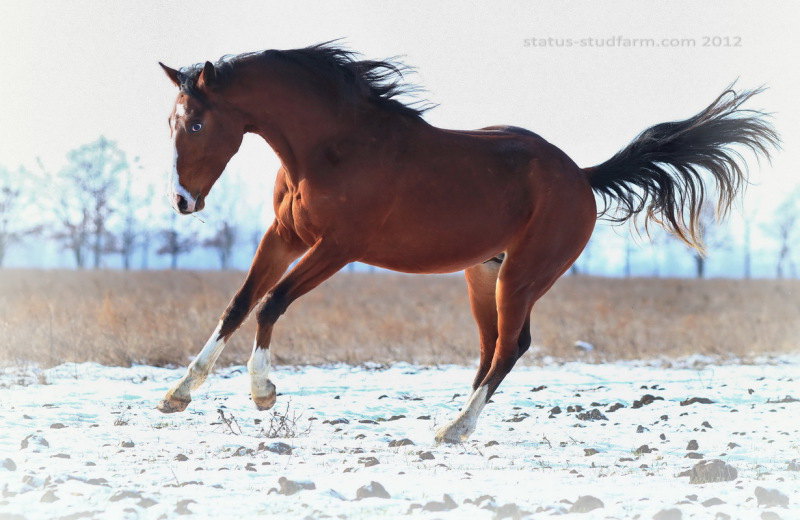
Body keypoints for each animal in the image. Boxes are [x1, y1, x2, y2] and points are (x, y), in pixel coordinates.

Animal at [155, 41, 776, 442]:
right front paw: (176, 395)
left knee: (511, 346)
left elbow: (271, 303)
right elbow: (238, 304)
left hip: (522, 276)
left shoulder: (337, 247)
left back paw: (456, 427)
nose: (182, 201)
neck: (334, 146)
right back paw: (451, 419)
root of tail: (580, 176)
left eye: (196, 124)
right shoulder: (284, 236)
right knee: (489, 346)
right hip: (483, 273)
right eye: (170, 122)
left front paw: (263, 393)